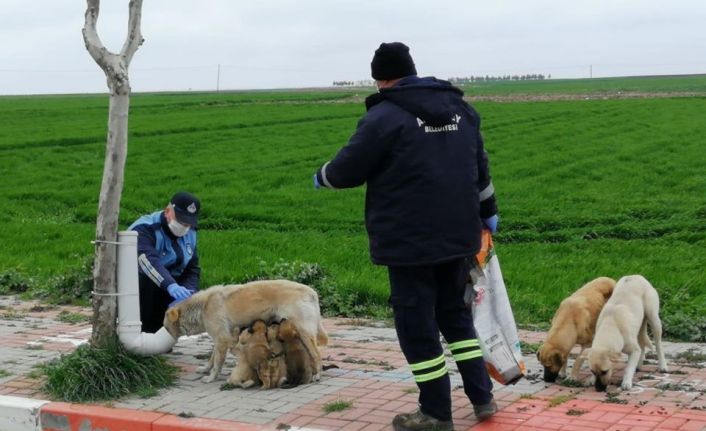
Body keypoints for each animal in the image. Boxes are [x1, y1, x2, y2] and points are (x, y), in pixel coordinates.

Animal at [164, 280, 328, 384]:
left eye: (166, 327)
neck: (202, 307)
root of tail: (311, 291)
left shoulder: (222, 339)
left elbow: (217, 362)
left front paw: (211, 378)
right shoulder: (221, 338)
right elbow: (212, 358)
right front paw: (206, 369)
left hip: (303, 331)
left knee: (316, 354)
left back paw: (317, 374)